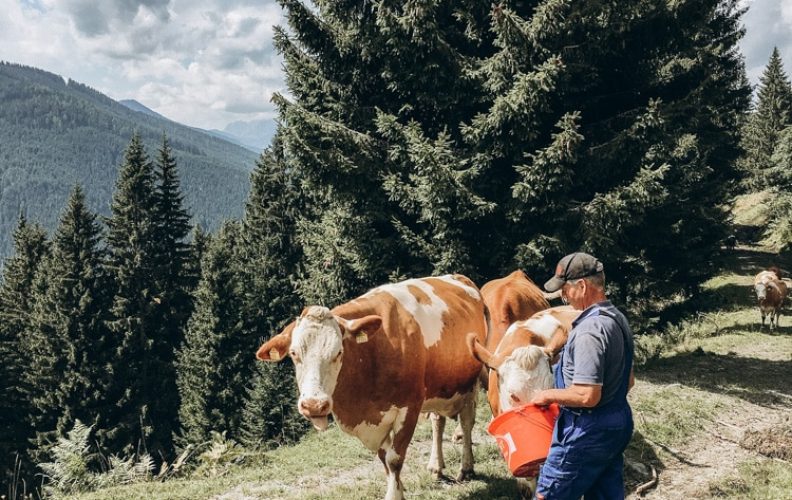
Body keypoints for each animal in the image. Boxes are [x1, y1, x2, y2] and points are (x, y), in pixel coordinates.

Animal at [256, 276, 486, 498]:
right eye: (294, 354)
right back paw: (436, 467)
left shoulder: (409, 408)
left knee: (467, 422)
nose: (314, 405)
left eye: (339, 352)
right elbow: (384, 459)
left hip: (471, 380)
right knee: (438, 421)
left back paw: (466, 467)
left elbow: (394, 459)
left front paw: (393, 495)